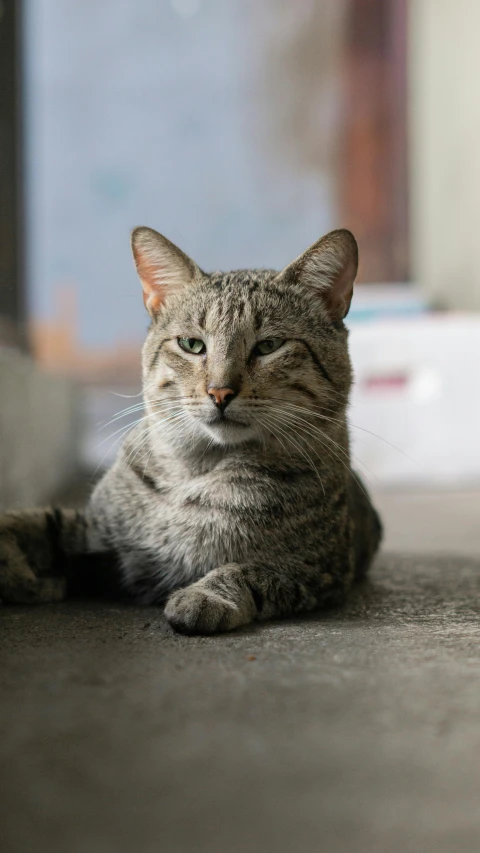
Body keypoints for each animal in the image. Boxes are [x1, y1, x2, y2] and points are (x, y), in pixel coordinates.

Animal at [0, 226, 382, 632]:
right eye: (191, 344)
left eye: (269, 345)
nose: (220, 392)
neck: (196, 469)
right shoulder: (95, 531)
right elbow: (28, 522)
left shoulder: (318, 569)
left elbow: (246, 571)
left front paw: (204, 596)